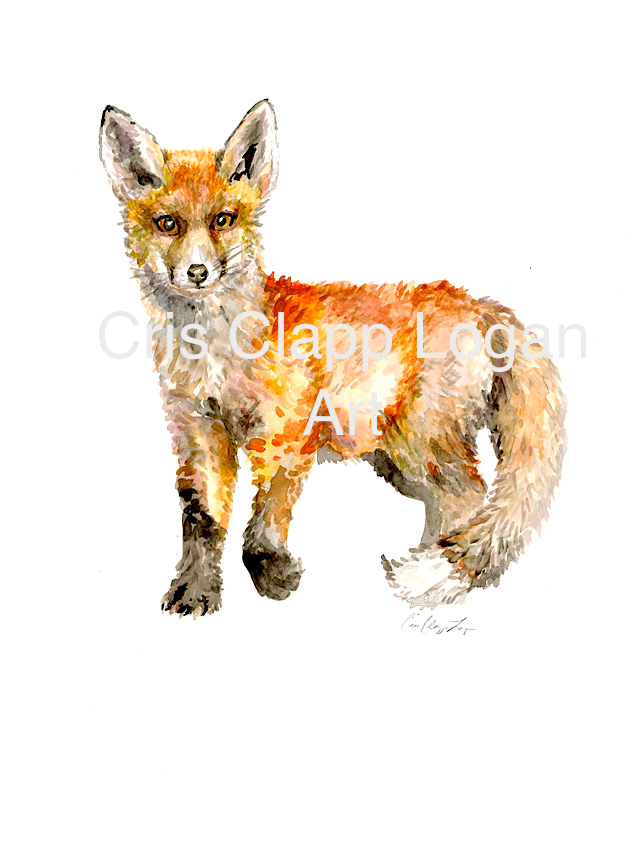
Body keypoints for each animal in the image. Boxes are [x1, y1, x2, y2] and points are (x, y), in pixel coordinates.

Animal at [99, 99, 566, 617]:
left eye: (223, 220)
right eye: (168, 224)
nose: (197, 272)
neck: (217, 357)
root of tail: (478, 303)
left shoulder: (289, 434)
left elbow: (263, 524)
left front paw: (274, 577)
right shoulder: (198, 432)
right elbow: (202, 521)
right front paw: (195, 590)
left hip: (420, 444)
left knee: (470, 500)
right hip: (396, 458)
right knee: (452, 507)